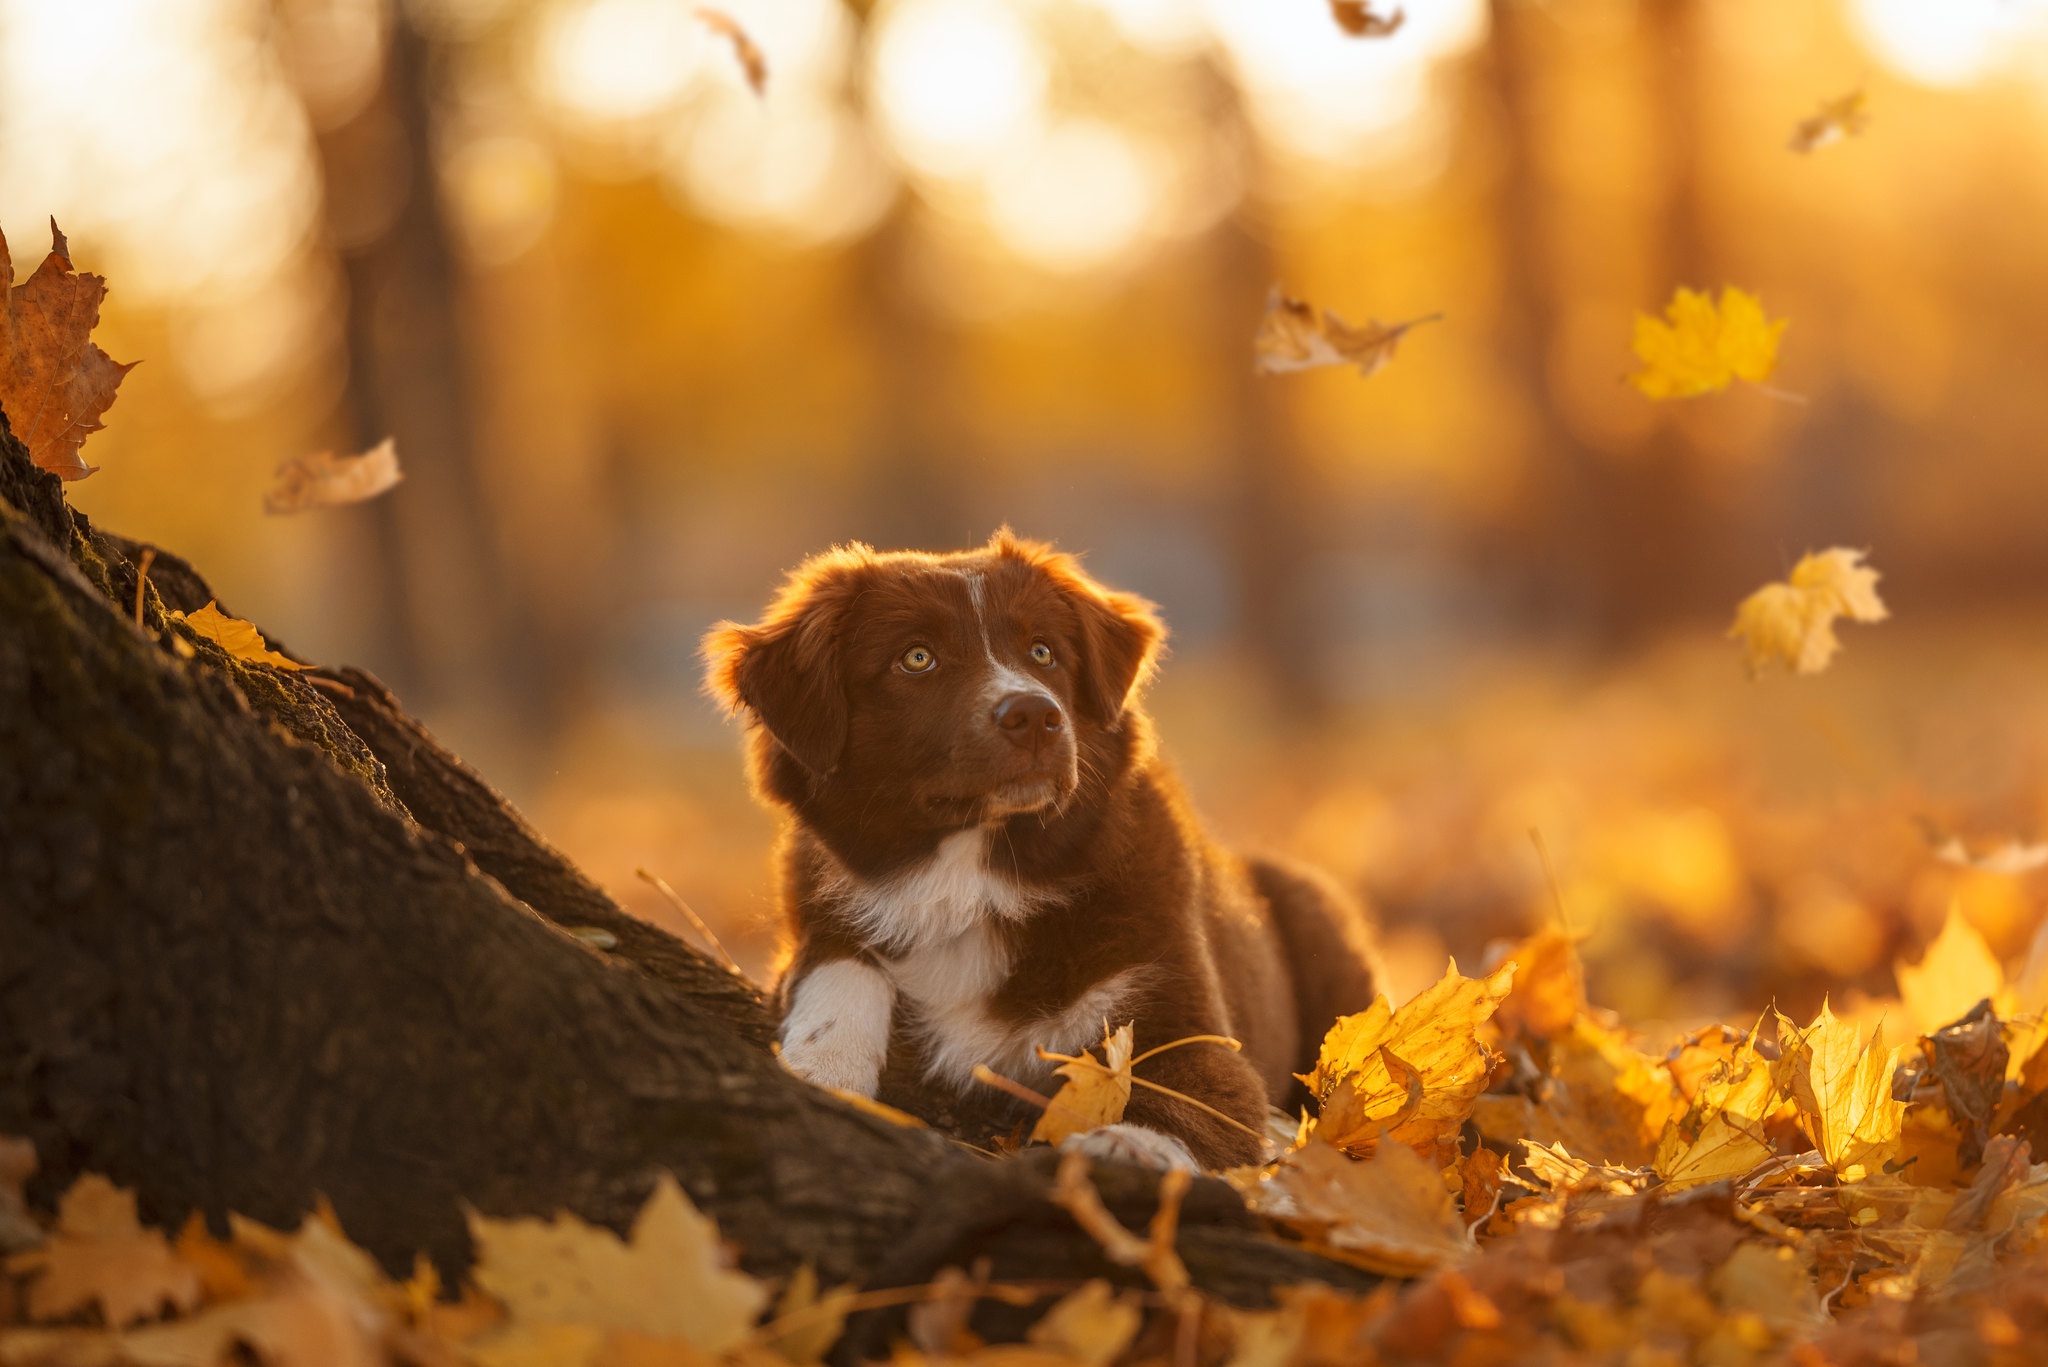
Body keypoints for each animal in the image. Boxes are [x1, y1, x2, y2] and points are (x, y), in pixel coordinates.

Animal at [700, 528, 1376, 1172]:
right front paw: (822, 1068)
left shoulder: (1175, 1007)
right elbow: (838, 960)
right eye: (916, 658)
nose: (1033, 715)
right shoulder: (821, 908)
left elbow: (1193, 1097)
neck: (974, 874)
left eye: (1043, 652)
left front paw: (1131, 1146)